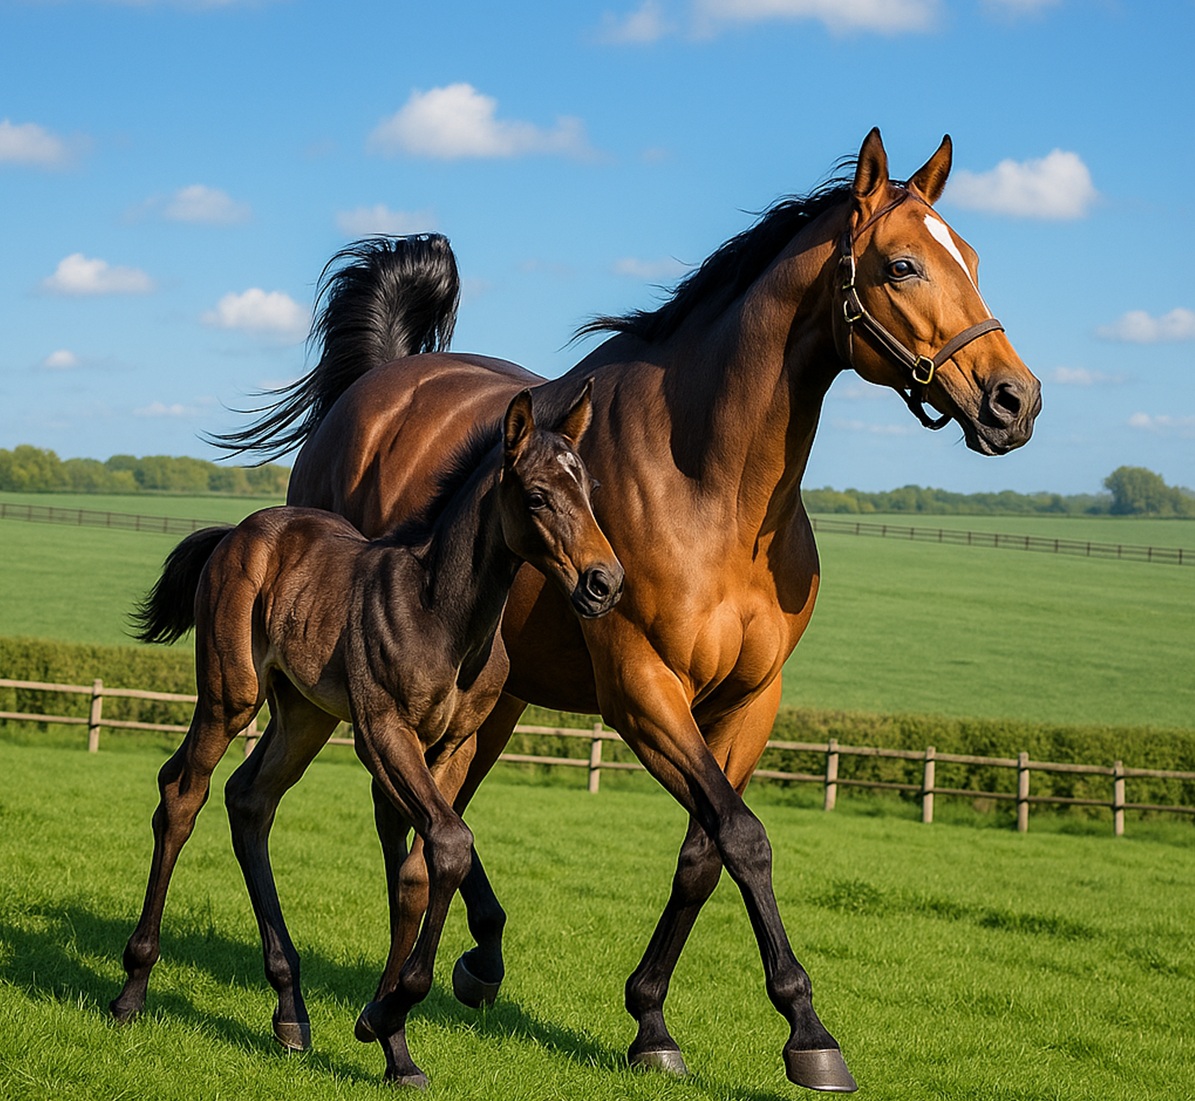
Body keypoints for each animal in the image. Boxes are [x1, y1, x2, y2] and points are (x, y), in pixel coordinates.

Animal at [110, 386, 623, 1087]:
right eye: (539, 495)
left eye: (591, 491)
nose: (605, 583)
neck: (441, 614)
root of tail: (239, 532)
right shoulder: (383, 731)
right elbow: (450, 845)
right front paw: (383, 1015)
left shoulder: (454, 745)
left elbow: (421, 866)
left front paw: (394, 1044)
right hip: (230, 696)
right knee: (182, 795)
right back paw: (132, 989)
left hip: (304, 714)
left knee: (250, 800)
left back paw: (290, 1011)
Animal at [208, 128, 1041, 1092]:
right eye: (902, 265)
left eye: (971, 259)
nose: (1014, 400)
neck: (711, 489)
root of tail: (377, 388)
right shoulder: (643, 690)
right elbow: (744, 836)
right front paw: (807, 1030)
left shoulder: (749, 701)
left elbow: (703, 851)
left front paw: (651, 1022)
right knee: (381, 812)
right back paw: (366, 997)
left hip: (494, 700)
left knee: (420, 816)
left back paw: (473, 959)